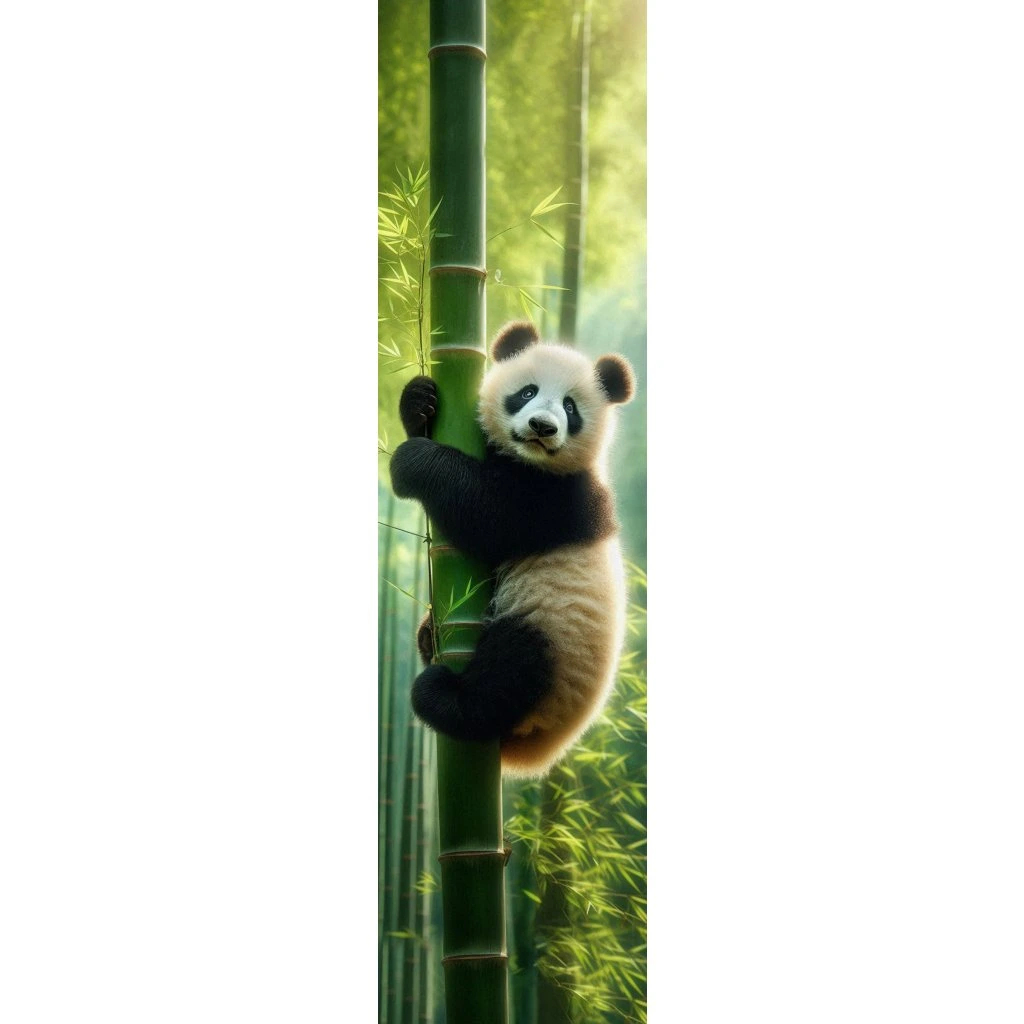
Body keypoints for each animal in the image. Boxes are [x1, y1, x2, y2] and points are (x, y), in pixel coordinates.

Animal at [389, 320, 635, 777]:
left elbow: (487, 516)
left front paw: (414, 460)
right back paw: (429, 636)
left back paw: (443, 696)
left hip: (555, 642)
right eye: (527, 392)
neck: (529, 460)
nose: (542, 426)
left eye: (570, 408)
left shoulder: (561, 501)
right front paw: (417, 401)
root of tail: (538, 751)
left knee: (509, 675)